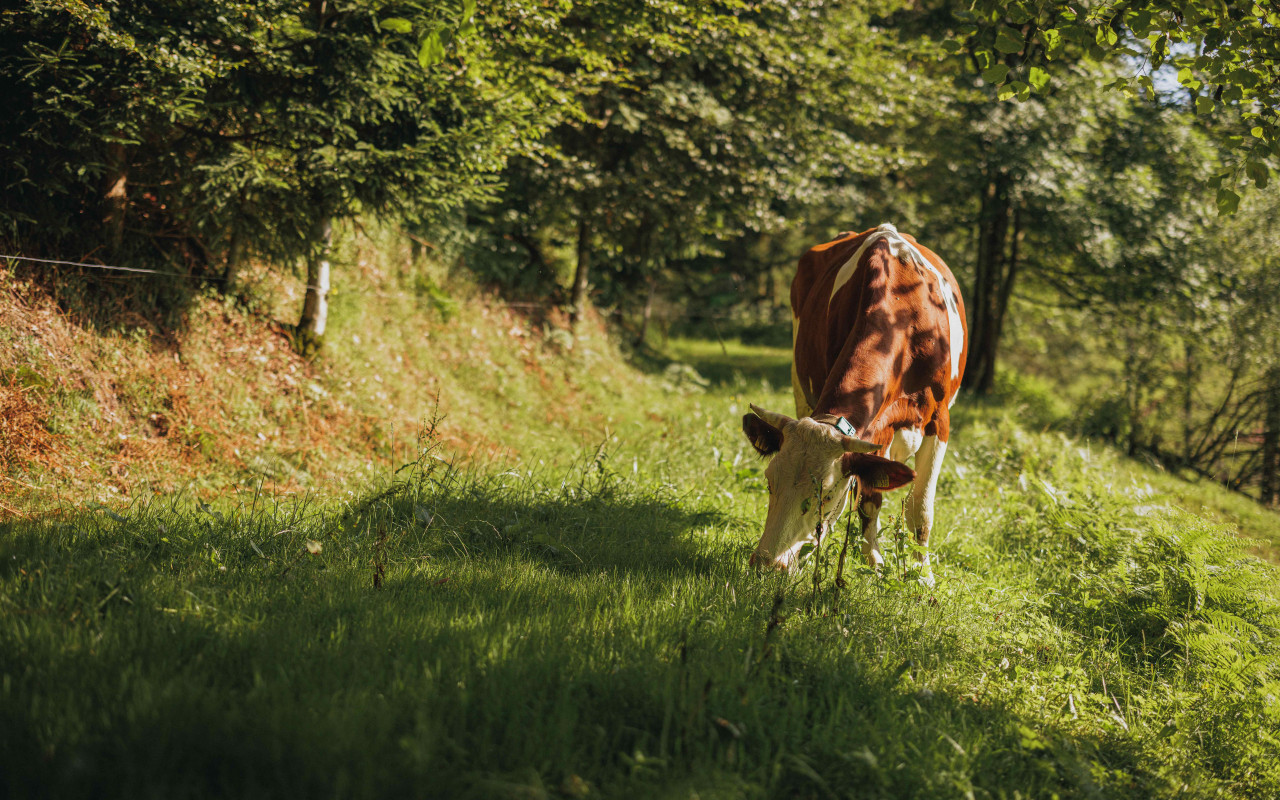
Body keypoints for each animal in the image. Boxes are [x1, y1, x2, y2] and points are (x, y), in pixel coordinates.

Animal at [742, 222, 967, 581]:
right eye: (769, 483)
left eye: (827, 494)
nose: (766, 564)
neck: (904, 314)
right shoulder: (873, 432)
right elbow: (869, 498)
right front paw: (873, 559)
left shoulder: (939, 420)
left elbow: (920, 508)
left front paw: (921, 573)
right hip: (800, 383)